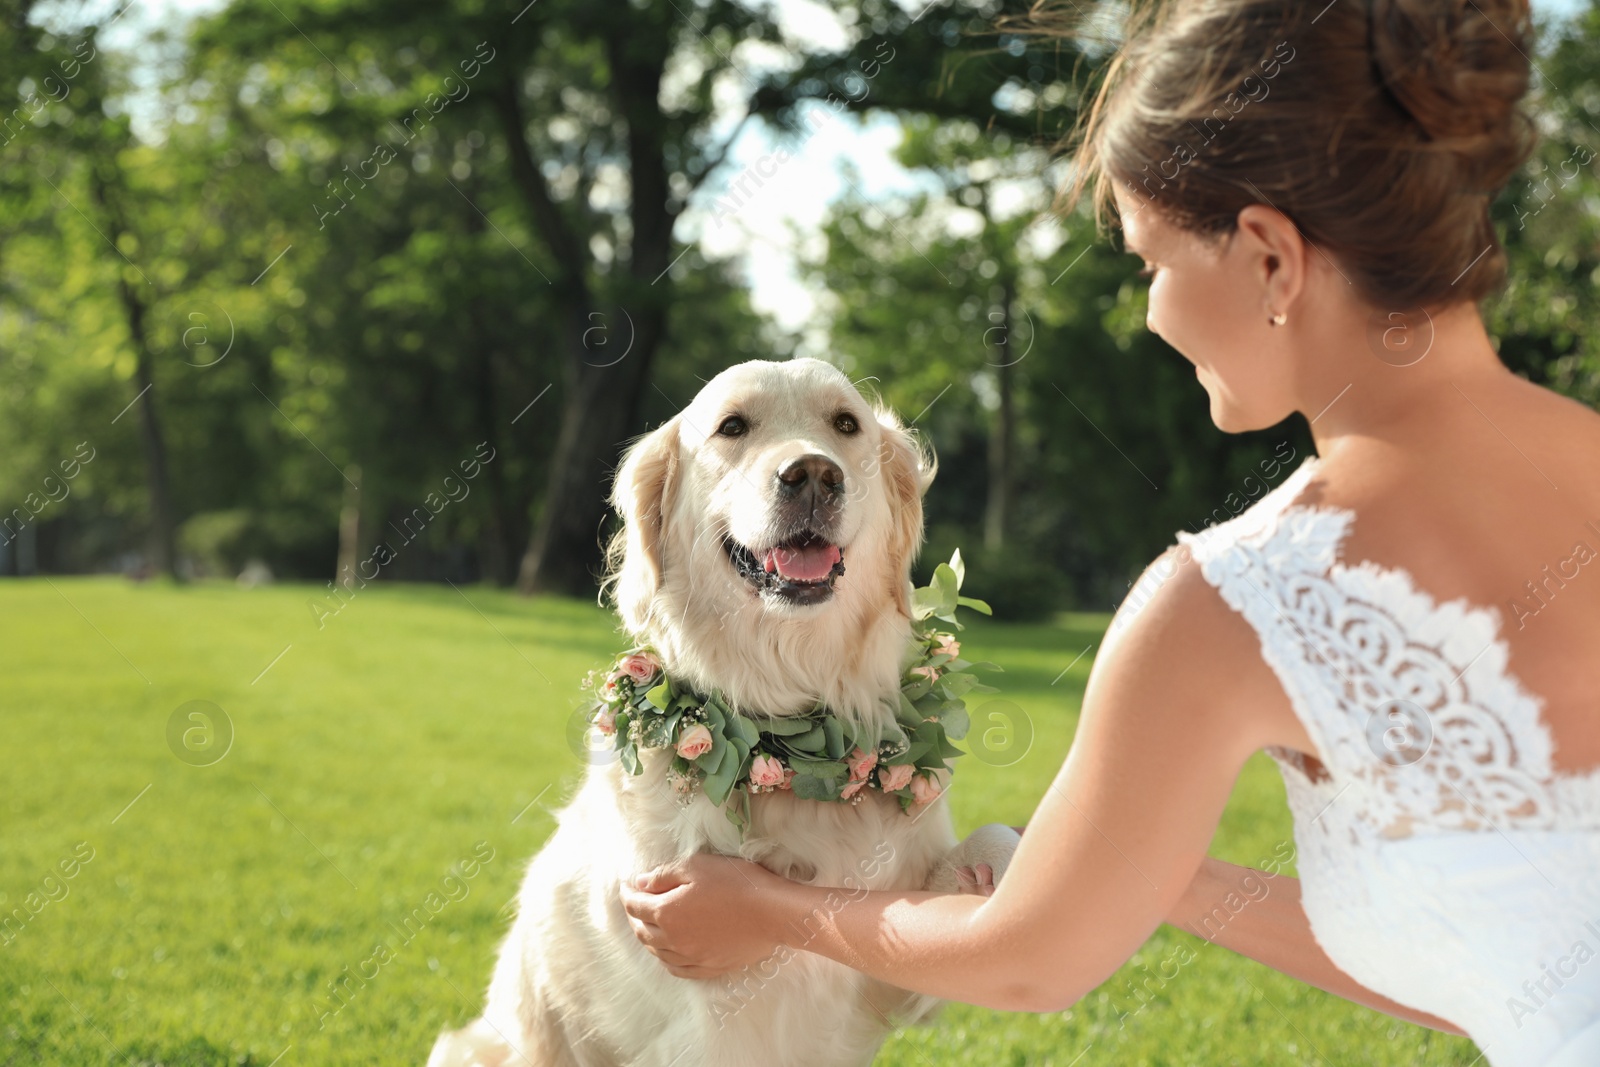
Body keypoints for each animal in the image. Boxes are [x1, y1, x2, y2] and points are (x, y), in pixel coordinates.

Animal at [428, 361, 1011, 1067]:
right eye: (733, 427)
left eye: (846, 424)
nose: (813, 475)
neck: (791, 729)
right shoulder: (717, 1014)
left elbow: (995, 856)